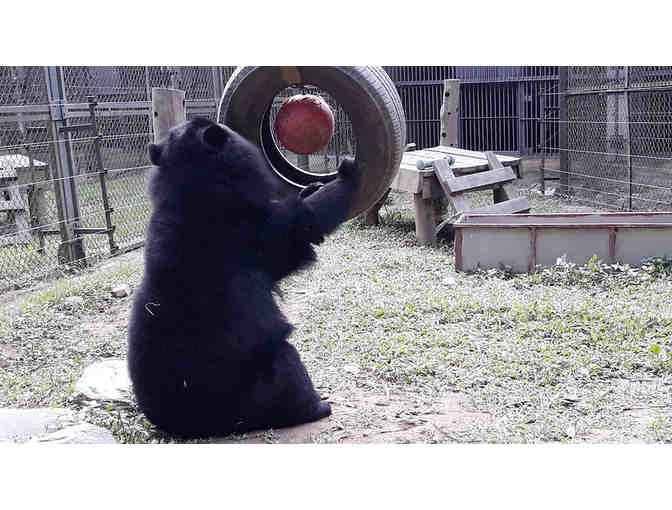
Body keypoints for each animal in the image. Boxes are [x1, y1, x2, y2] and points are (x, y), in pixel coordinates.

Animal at [127, 117, 360, 437]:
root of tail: (191, 424)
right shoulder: (248, 232)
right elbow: (301, 226)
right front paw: (347, 172)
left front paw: (311, 186)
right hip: (256, 385)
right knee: (288, 365)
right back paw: (317, 407)